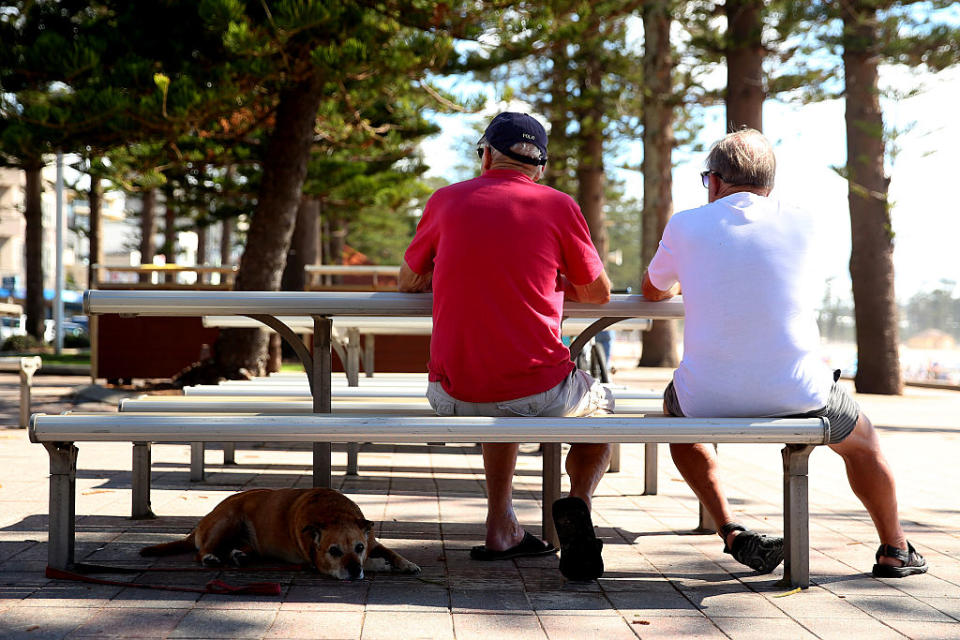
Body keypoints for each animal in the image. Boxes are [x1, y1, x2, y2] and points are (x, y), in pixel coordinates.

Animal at [140, 490, 420, 580]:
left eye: (359, 547)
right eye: (334, 551)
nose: (354, 571)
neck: (333, 513)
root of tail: (199, 525)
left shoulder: (372, 541)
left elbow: (390, 551)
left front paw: (406, 563)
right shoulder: (319, 564)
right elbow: (375, 562)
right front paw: (379, 565)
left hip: (247, 538)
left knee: (237, 548)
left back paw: (239, 555)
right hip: (227, 520)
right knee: (200, 553)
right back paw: (210, 557)